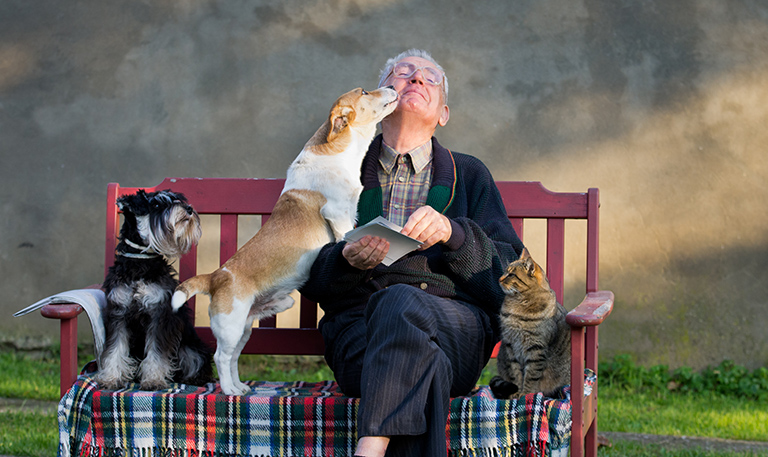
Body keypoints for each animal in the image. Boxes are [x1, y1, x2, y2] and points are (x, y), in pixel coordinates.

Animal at [97, 189, 216, 388]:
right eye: (157, 204)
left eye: (177, 199)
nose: (189, 209)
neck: (139, 262)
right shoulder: (118, 313)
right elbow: (115, 348)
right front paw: (111, 378)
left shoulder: (159, 315)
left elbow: (157, 352)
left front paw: (153, 380)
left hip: (191, 348)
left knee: (196, 361)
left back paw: (193, 378)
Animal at [172, 86, 400, 396]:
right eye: (365, 91)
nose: (392, 87)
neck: (339, 153)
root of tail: (215, 276)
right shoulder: (338, 215)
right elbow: (344, 239)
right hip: (230, 326)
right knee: (220, 357)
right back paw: (230, 390)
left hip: (244, 328)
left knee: (233, 358)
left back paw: (240, 386)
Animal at [492, 246, 568, 400]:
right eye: (505, 271)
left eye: (511, 275)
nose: (499, 278)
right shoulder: (510, 345)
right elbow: (515, 373)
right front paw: (516, 392)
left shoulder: (536, 348)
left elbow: (531, 375)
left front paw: (526, 393)